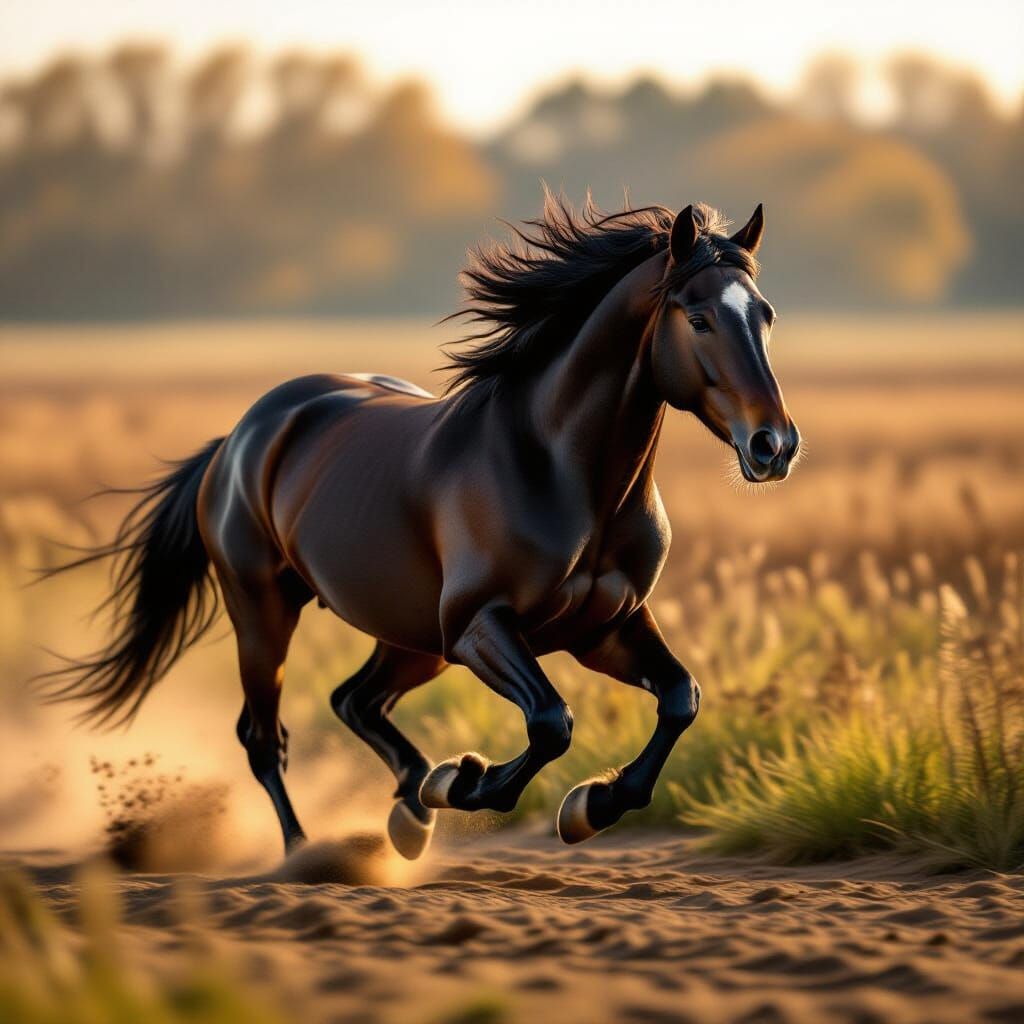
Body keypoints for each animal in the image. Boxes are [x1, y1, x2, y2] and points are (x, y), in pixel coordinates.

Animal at [41, 195, 800, 861]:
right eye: (698, 317)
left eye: (763, 315)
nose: (774, 445)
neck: (563, 474)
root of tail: (240, 438)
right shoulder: (479, 627)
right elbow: (551, 723)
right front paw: (470, 781)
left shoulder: (605, 628)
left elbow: (679, 699)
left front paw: (589, 805)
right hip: (266, 613)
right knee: (264, 736)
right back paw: (307, 850)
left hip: (410, 637)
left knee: (353, 700)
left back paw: (410, 811)